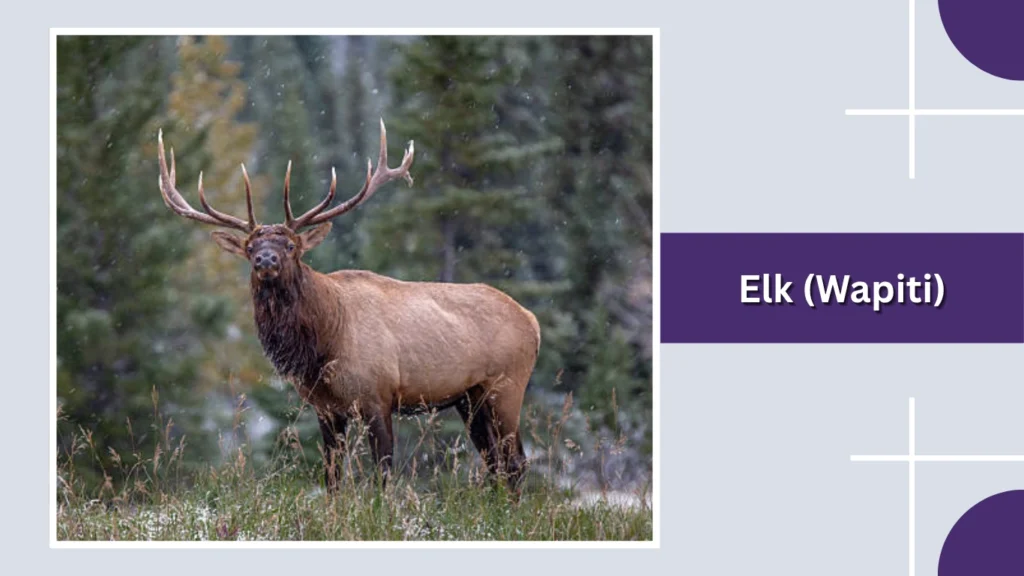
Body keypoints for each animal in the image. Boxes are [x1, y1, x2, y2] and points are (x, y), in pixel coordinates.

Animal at [156, 120, 540, 495]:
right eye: (250, 248)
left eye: (291, 246)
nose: (266, 260)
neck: (323, 344)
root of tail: (532, 321)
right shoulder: (326, 408)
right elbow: (332, 478)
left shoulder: (377, 397)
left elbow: (384, 476)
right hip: (470, 397)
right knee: (495, 463)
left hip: (507, 385)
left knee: (516, 462)